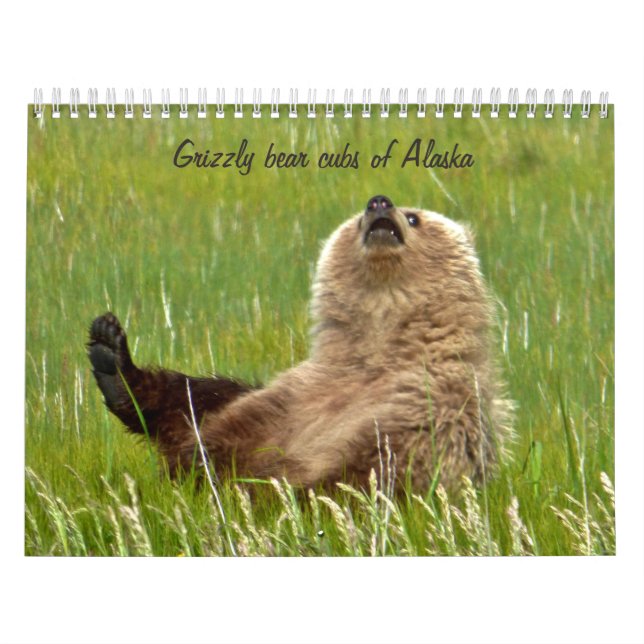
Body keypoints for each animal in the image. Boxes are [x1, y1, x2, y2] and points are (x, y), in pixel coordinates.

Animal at [88, 195, 513, 493]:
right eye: (355, 219)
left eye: (414, 217)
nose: (379, 202)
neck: (380, 350)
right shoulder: (296, 395)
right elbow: (210, 424)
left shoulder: (430, 408)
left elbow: (370, 474)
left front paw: (268, 492)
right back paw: (111, 358)